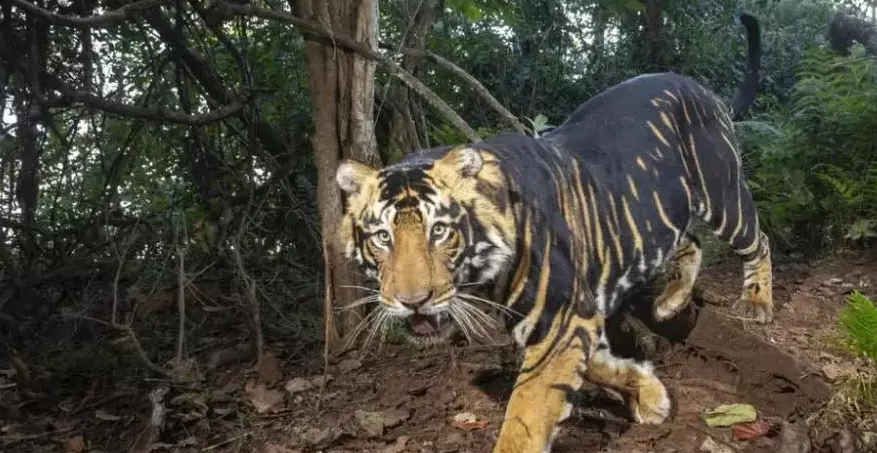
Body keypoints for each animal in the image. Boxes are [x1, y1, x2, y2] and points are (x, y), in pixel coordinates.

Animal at [334, 10, 768, 452]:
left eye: (440, 231)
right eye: (382, 237)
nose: (413, 302)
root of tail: (701, 88)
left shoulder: (562, 318)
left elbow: (526, 417)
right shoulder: (570, 319)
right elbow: (597, 366)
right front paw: (650, 394)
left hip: (723, 193)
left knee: (758, 240)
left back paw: (756, 303)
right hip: (662, 210)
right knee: (690, 241)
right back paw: (670, 302)